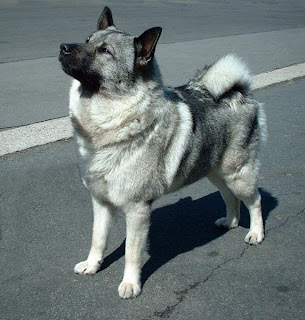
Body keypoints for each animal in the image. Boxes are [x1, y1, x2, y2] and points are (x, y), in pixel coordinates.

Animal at [58, 6, 266, 298]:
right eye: (87, 40)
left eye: (105, 51)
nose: (63, 47)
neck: (109, 119)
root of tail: (240, 92)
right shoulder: (101, 202)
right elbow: (97, 238)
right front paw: (92, 264)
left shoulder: (137, 209)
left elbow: (132, 252)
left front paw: (130, 284)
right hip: (214, 172)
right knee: (230, 198)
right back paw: (230, 221)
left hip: (237, 174)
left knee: (255, 200)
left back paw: (256, 234)